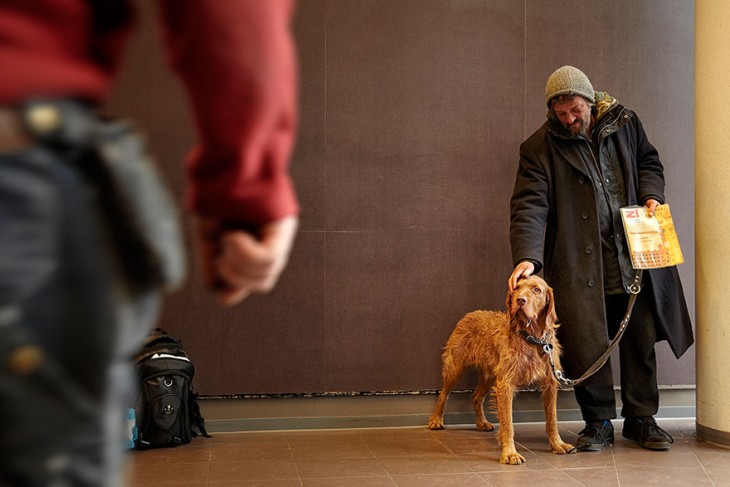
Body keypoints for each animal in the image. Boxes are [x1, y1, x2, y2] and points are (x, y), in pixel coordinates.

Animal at [426, 274, 576, 466]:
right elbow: (508, 423)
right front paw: (510, 453)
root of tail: (470, 314)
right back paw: (436, 420)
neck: (531, 338)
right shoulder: (505, 384)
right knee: (443, 394)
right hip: (455, 368)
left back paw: (482, 423)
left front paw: (558, 444)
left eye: (536, 289)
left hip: (490, 375)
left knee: (476, 396)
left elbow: (552, 419)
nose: (520, 300)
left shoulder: (550, 383)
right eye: (516, 287)